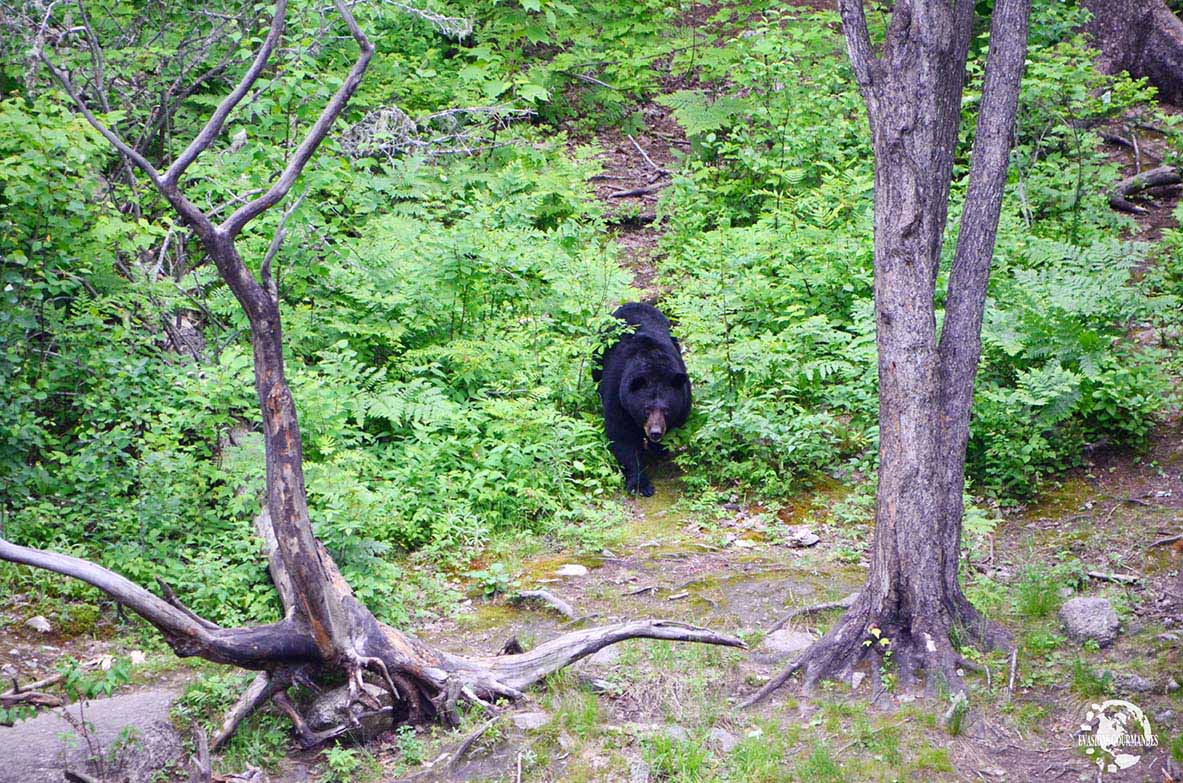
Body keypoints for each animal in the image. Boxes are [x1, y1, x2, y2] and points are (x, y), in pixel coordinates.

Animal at [596, 301, 690, 496]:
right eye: (646, 409)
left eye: (666, 410)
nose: (655, 432)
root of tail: (633, 303)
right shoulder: (618, 396)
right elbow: (622, 437)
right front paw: (640, 484)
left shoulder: (683, 401)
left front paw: (659, 449)